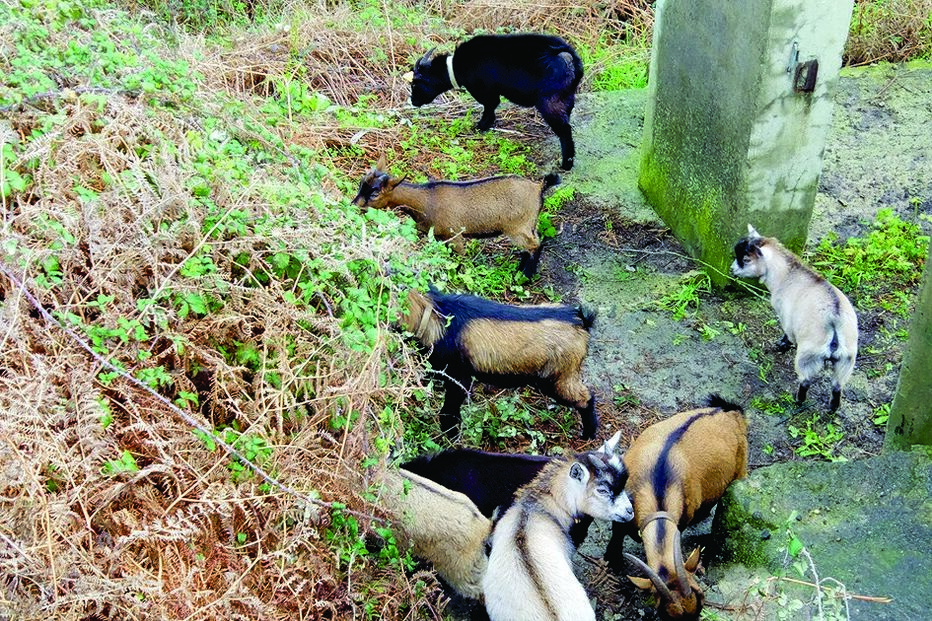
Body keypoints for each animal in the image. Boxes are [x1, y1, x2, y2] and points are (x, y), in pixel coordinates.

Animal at [352, 157, 558, 277]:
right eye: (361, 183)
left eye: (374, 193)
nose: (353, 205)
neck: (426, 201)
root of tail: (538, 187)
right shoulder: (440, 237)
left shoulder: (454, 235)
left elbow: (459, 259)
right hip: (527, 225)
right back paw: (519, 270)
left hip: (518, 227)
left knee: (536, 245)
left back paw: (526, 276)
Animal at [402, 285, 598, 440]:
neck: (436, 316)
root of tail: (581, 323)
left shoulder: (458, 377)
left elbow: (450, 409)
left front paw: (451, 435)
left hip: (557, 378)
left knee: (586, 398)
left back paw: (589, 434)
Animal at [407, 33, 584, 170]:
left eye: (415, 83)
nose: (413, 101)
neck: (458, 66)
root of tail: (567, 56)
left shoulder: (483, 89)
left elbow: (490, 105)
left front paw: (481, 126)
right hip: (566, 97)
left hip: (550, 102)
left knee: (564, 130)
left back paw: (566, 164)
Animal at [605, 395, 748, 621]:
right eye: (665, 614)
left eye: (701, 602)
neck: (658, 482)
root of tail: (730, 411)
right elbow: (617, 530)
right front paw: (612, 559)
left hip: (740, 469)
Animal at [731, 224, 858, 411]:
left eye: (746, 259)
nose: (732, 269)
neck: (785, 275)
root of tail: (834, 325)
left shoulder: (786, 318)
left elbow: (787, 335)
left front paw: (781, 346)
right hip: (846, 362)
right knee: (837, 387)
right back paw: (832, 408)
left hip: (808, 357)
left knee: (805, 381)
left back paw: (798, 400)